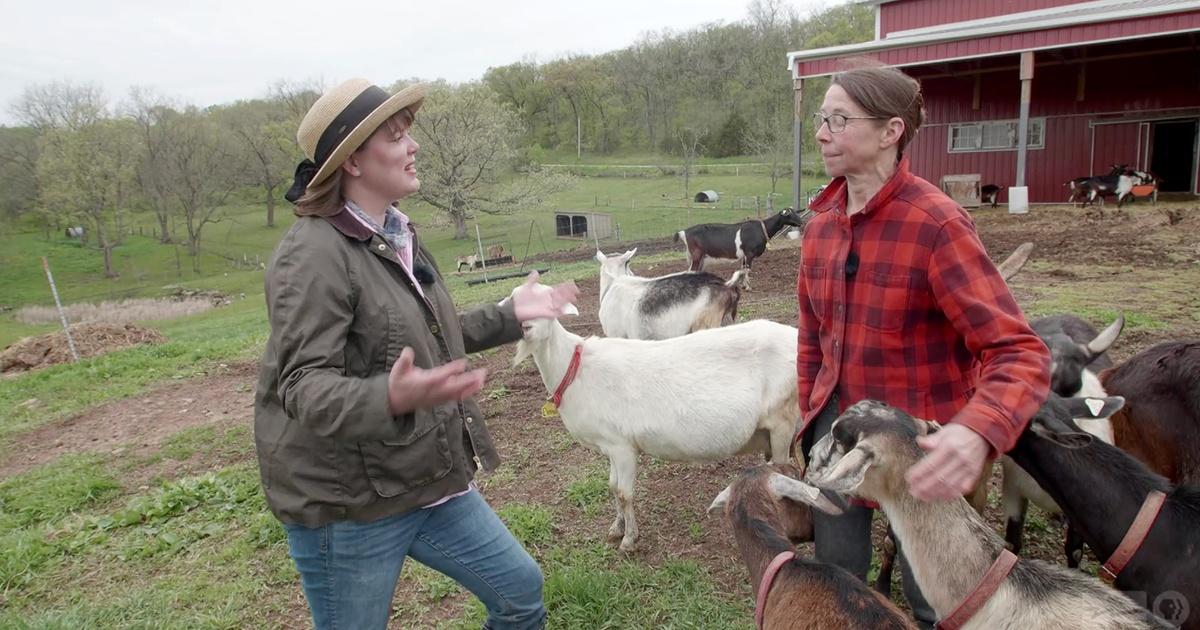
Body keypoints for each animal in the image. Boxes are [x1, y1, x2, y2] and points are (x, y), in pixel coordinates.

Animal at [506, 279, 796, 549]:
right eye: (514, 301)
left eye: (547, 302)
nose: (525, 326)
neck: (575, 368)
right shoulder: (609, 445)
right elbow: (612, 486)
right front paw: (616, 528)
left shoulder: (622, 446)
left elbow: (624, 492)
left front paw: (629, 539)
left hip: (783, 422)